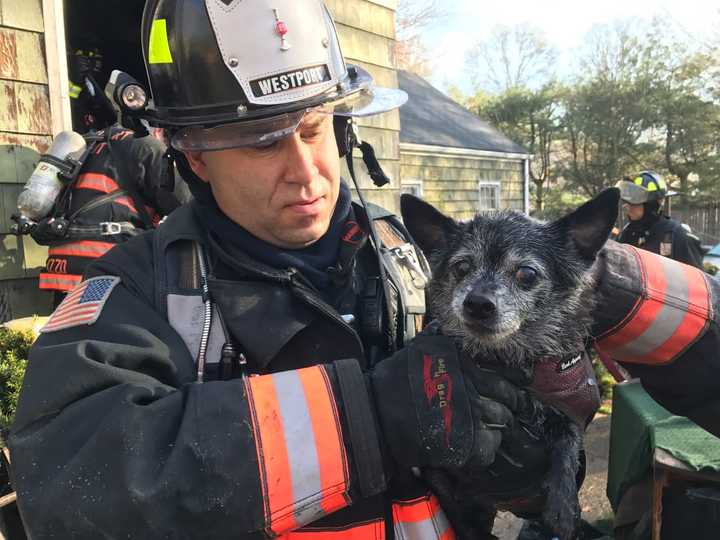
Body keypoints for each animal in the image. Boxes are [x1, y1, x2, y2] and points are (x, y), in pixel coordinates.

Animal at [400, 188, 620, 536]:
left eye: (526, 273)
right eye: (462, 267)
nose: (477, 304)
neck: (506, 357)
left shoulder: (572, 410)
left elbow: (568, 443)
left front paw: (563, 506)